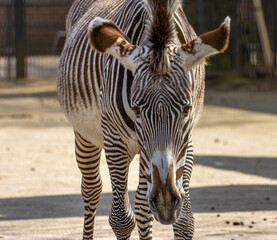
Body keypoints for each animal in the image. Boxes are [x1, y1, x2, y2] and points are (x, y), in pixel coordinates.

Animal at [57, 0, 230, 238]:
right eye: (136, 109)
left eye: (186, 109)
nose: (166, 204)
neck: (159, 28)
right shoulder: (115, 140)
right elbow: (121, 219)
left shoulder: (186, 142)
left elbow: (184, 221)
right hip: (86, 136)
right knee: (91, 189)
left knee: (141, 204)